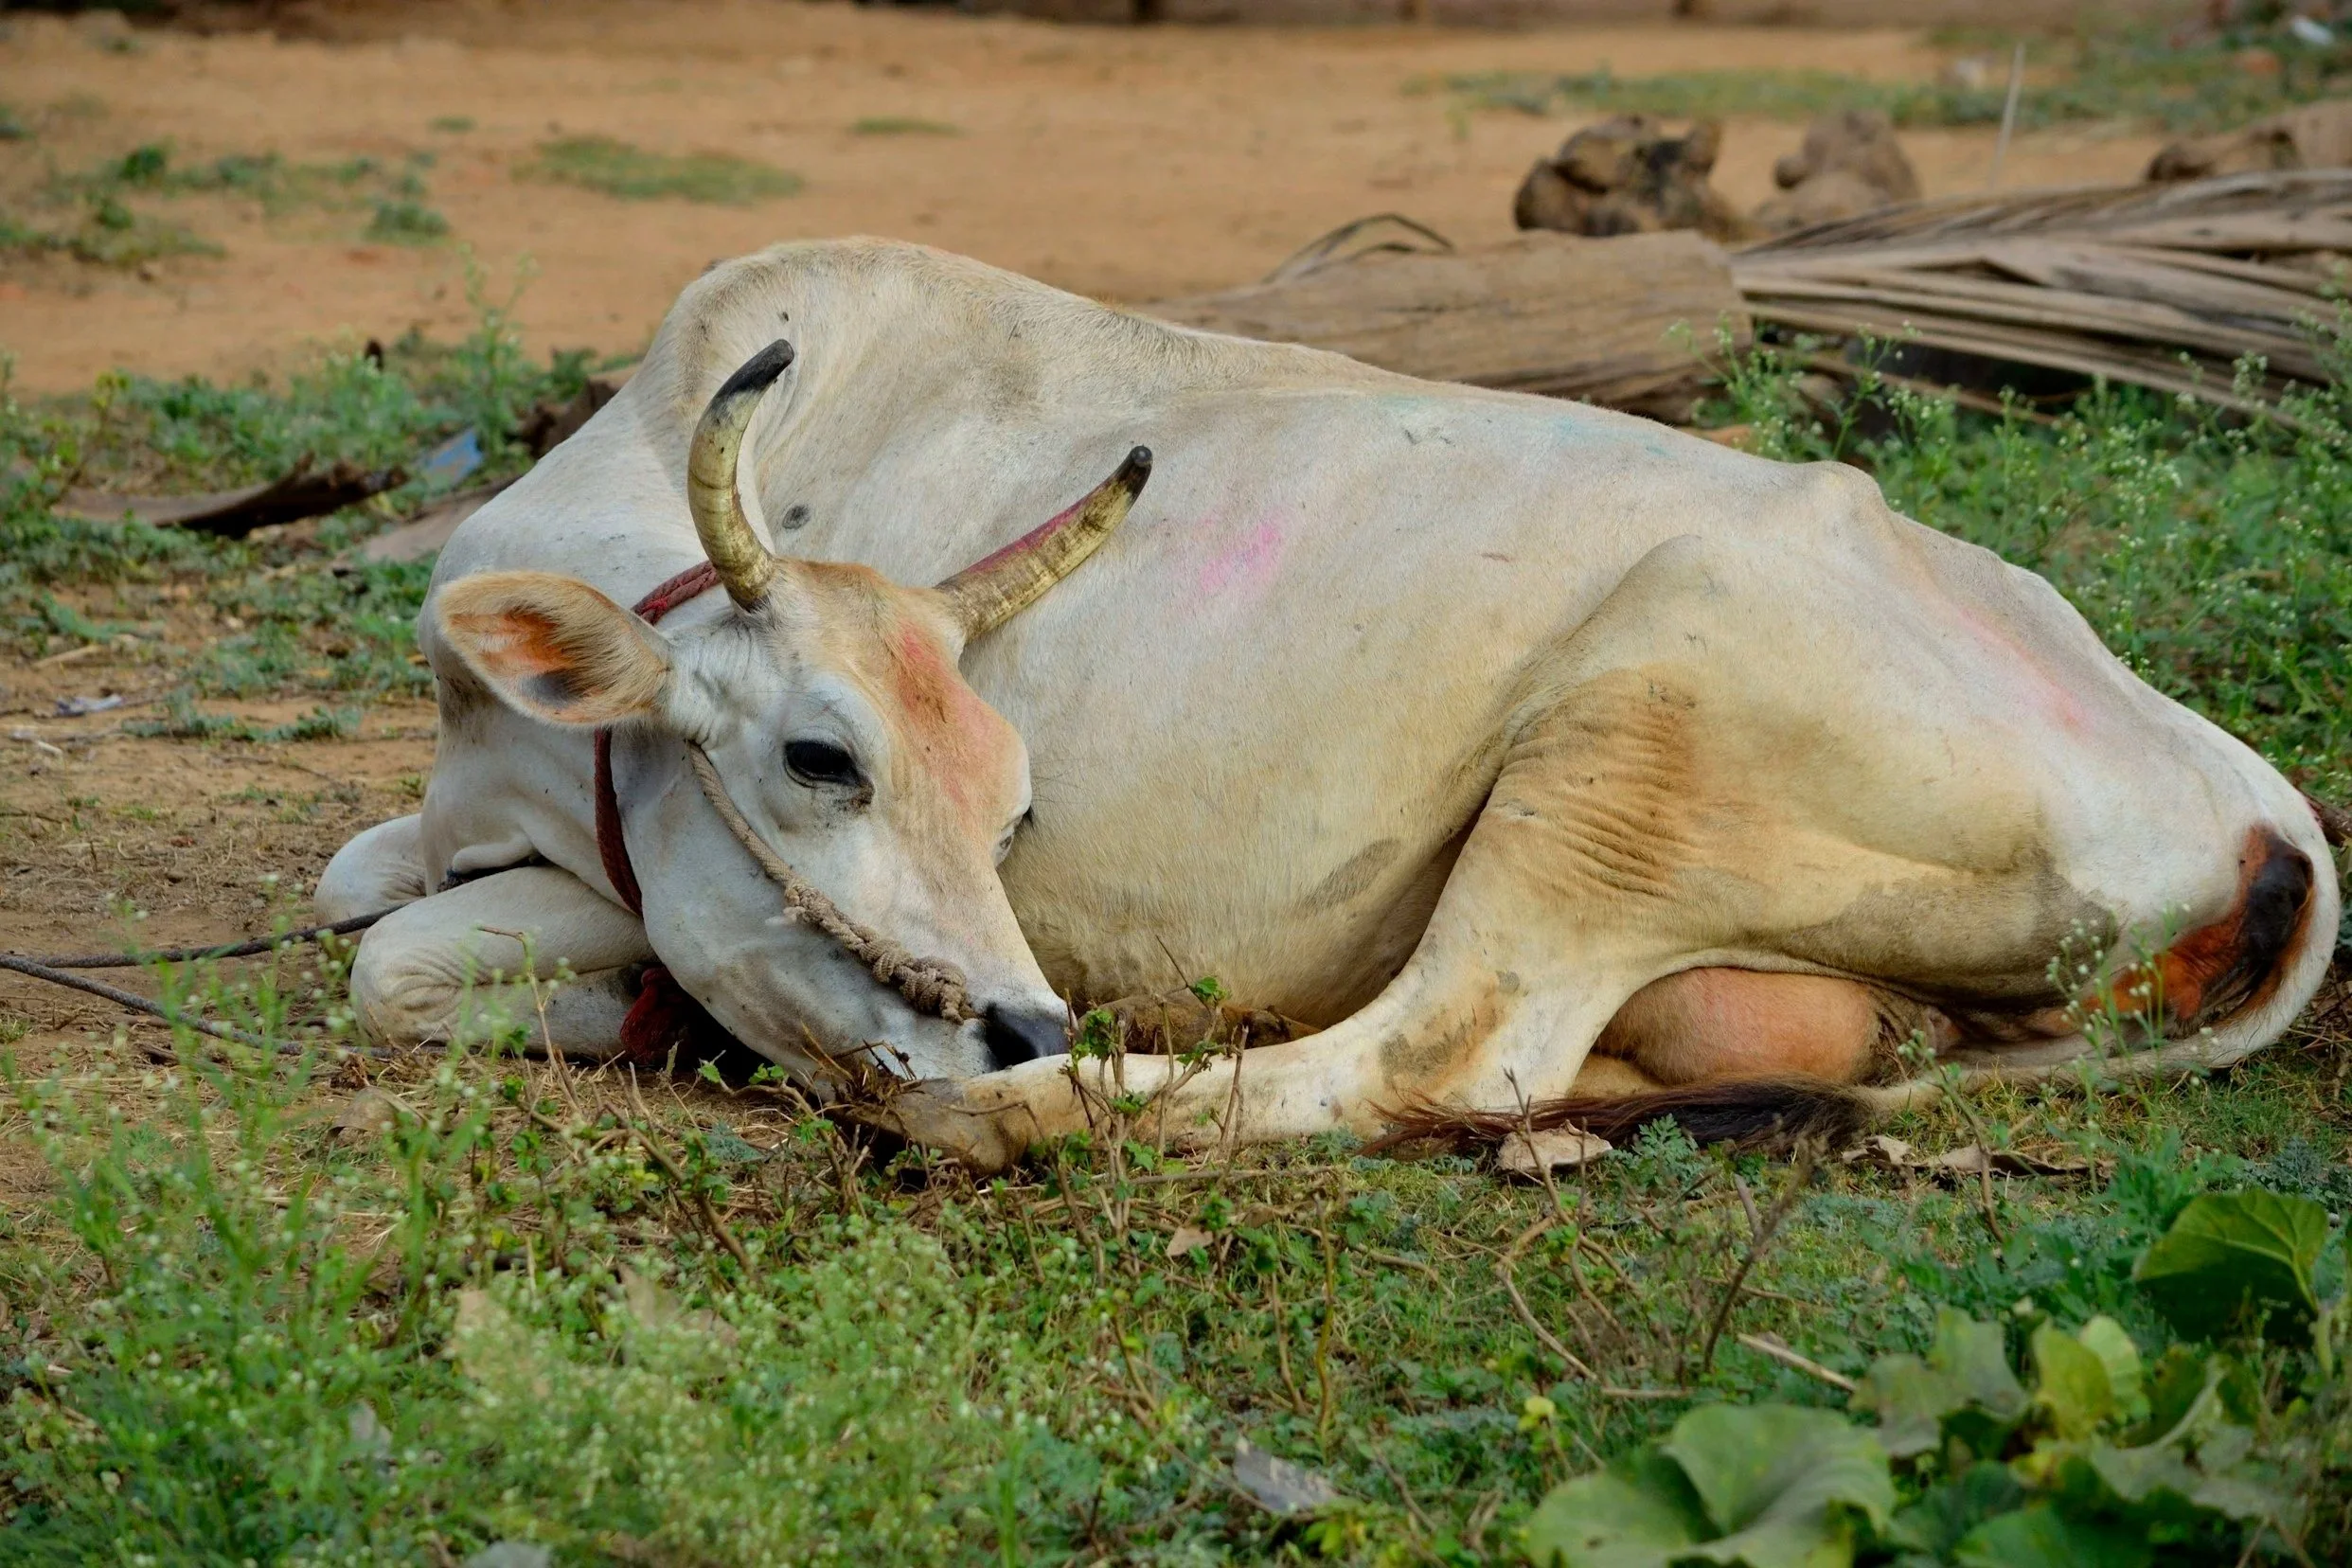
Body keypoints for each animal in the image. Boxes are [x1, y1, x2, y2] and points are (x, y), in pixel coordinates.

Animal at [319, 237, 2338, 1171]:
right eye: (821, 756)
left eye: (1015, 807)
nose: (1017, 1016)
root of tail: (2259, 812)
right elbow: (368, 913)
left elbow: (384, 965)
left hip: (1622, 746)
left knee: (1421, 1054)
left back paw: (1003, 1116)